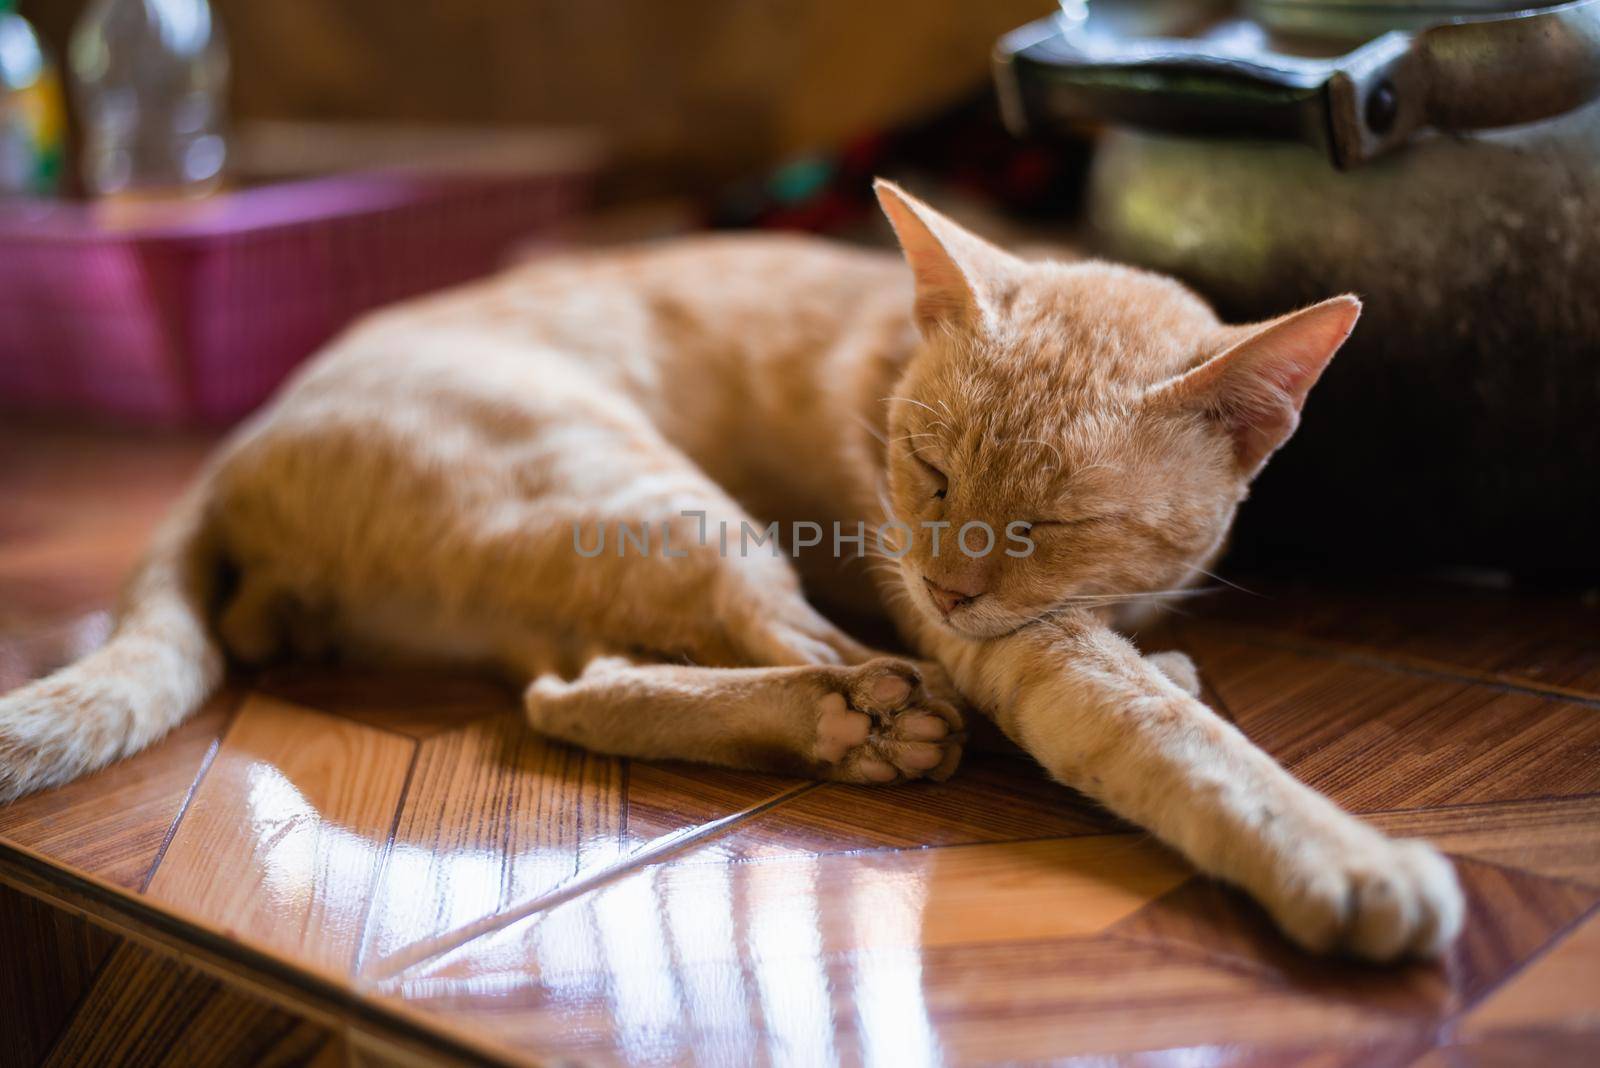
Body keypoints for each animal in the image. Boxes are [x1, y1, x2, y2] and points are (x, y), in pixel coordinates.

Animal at [0, 181, 1465, 959]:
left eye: (1053, 520)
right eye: (930, 473)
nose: (952, 587)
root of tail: (233, 447)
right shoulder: (1001, 635)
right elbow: (1173, 745)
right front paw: (1345, 862)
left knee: (574, 681)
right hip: (656, 500)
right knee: (688, 677)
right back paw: (866, 721)